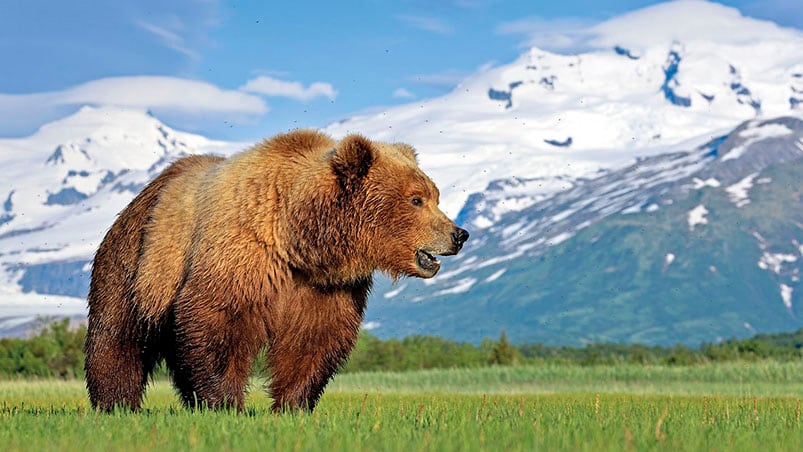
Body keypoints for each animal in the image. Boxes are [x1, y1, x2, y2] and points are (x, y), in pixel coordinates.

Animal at [82, 131, 468, 414]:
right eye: (416, 199)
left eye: (434, 195)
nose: (458, 234)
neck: (298, 239)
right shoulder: (243, 256)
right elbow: (217, 321)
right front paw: (226, 404)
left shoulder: (325, 287)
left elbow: (315, 338)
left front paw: (293, 405)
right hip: (137, 263)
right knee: (117, 335)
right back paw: (115, 404)